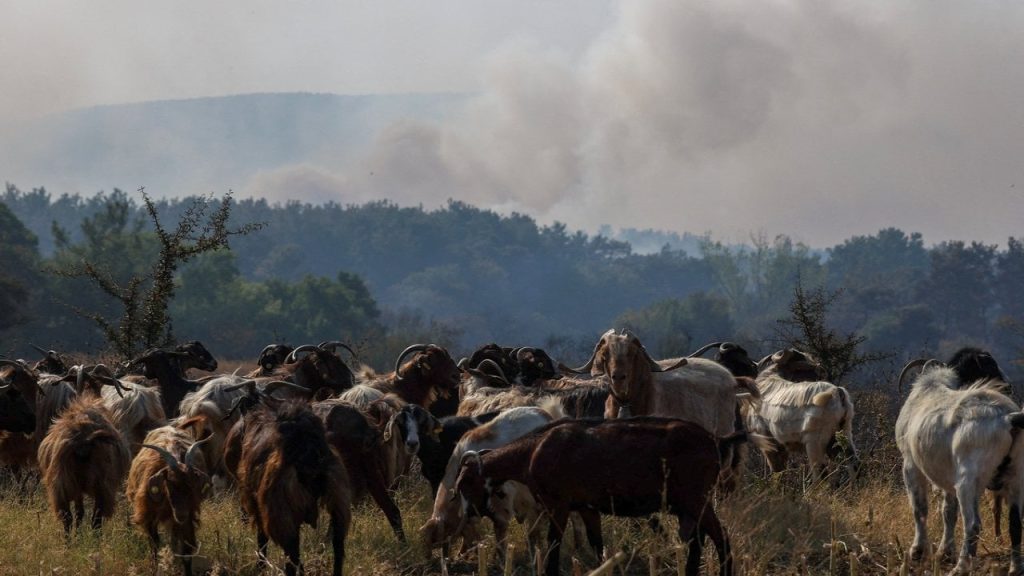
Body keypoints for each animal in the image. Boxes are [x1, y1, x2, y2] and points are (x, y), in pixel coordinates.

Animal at [36, 397, 130, 532]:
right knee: (96, 518)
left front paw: (78, 533)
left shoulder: (76, 487)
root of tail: (84, 440)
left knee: (68, 517)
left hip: (61, 483)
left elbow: (79, 512)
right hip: (102, 484)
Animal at [128, 422, 211, 573]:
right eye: (169, 482)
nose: (181, 514)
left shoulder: (188, 517)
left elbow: (186, 551)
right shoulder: (148, 515)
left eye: (193, 484)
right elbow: (154, 545)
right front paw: (154, 570)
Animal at [235, 399, 352, 573]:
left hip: (280, 511)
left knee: (292, 554)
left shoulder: (259, 505)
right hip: (339, 501)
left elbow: (262, 539)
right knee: (337, 548)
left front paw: (260, 566)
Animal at [456, 416, 745, 573]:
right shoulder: (587, 508)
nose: (468, 513)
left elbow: (553, 545)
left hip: (698, 500)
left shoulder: (558, 506)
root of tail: (716, 440)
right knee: (698, 543)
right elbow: (598, 545)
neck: (533, 450)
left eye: (463, 484)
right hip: (689, 508)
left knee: (722, 539)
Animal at [897, 358, 1024, 569]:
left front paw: (917, 551)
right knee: (1015, 524)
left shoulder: (910, 464)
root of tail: (1008, 419)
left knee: (973, 524)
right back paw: (1014, 568)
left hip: (969, 481)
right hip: (1015, 477)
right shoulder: (948, 476)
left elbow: (919, 508)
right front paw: (944, 553)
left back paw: (961, 567)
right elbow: (948, 512)